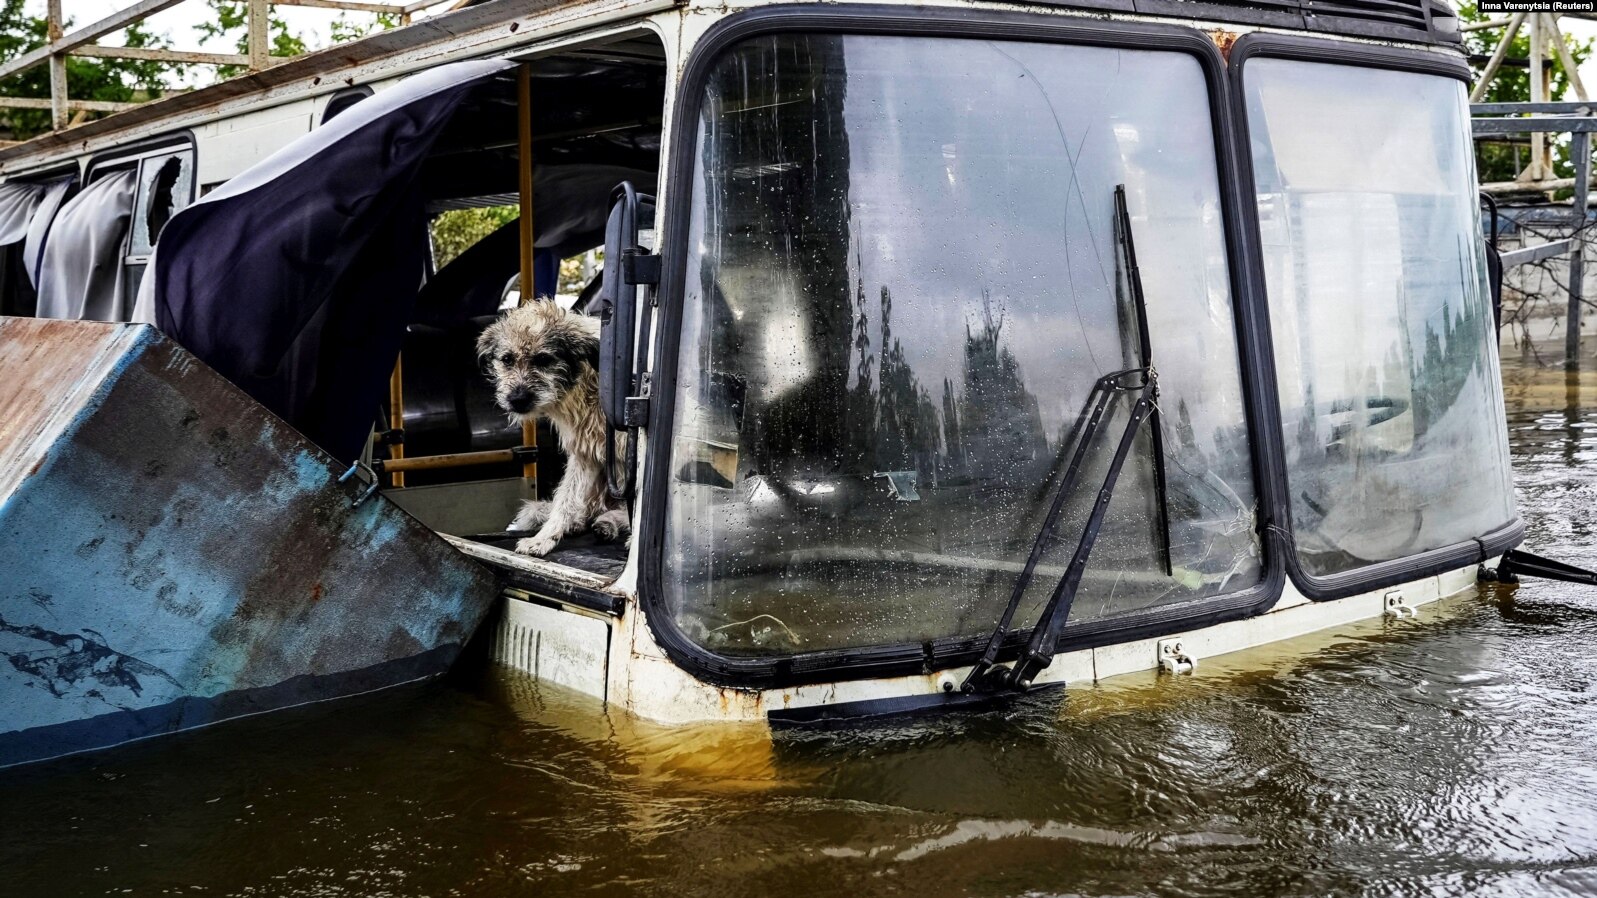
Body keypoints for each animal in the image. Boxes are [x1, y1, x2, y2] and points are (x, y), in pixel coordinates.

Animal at [475, 300, 626, 552]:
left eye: (544, 359)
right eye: (507, 359)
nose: (517, 399)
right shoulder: (585, 453)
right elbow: (565, 498)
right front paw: (544, 538)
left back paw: (608, 524)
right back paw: (584, 523)